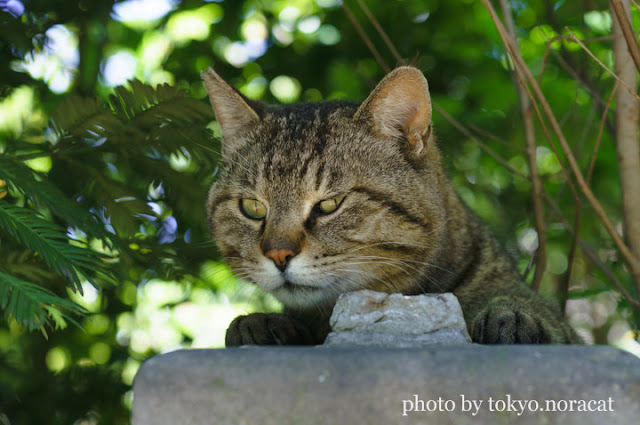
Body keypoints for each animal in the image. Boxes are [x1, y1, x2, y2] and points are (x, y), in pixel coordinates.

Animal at [202, 65, 584, 344]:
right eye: (252, 207)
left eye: (330, 204)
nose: (278, 255)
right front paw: (260, 324)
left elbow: (527, 309)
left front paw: (511, 316)